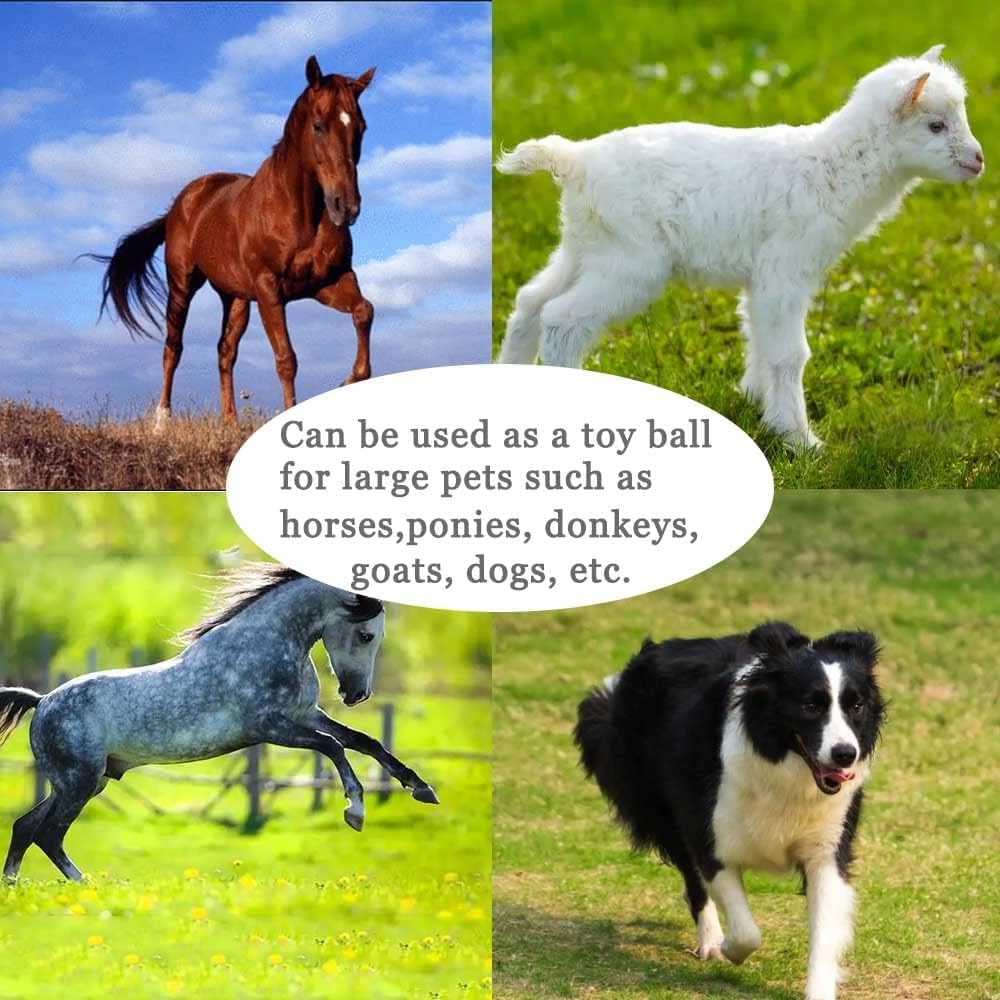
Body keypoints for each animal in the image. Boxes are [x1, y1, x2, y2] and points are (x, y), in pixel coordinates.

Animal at [0, 564, 437, 882]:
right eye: (366, 635)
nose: (357, 695)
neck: (267, 645)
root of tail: (42, 702)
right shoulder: (270, 726)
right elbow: (333, 746)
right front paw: (355, 811)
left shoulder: (305, 714)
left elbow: (364, 741)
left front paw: (422, 789)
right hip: (80, 782)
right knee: (47, 835)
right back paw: (84, 885)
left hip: (84, 782)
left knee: (25, 827)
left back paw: (15, 888)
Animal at [87, 56, 376, 426]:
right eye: (318, 125)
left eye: (361, 127)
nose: (346, 207)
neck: (300, 214)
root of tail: (180, 204)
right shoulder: (270, 289)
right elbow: (286, 359)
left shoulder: (328, 281)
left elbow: (364, 312)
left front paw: (346, 381)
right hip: (182, 285)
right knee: (173, 347)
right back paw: (162, 421)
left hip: (235, 298)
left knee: (225, 352)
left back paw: (230, 421)